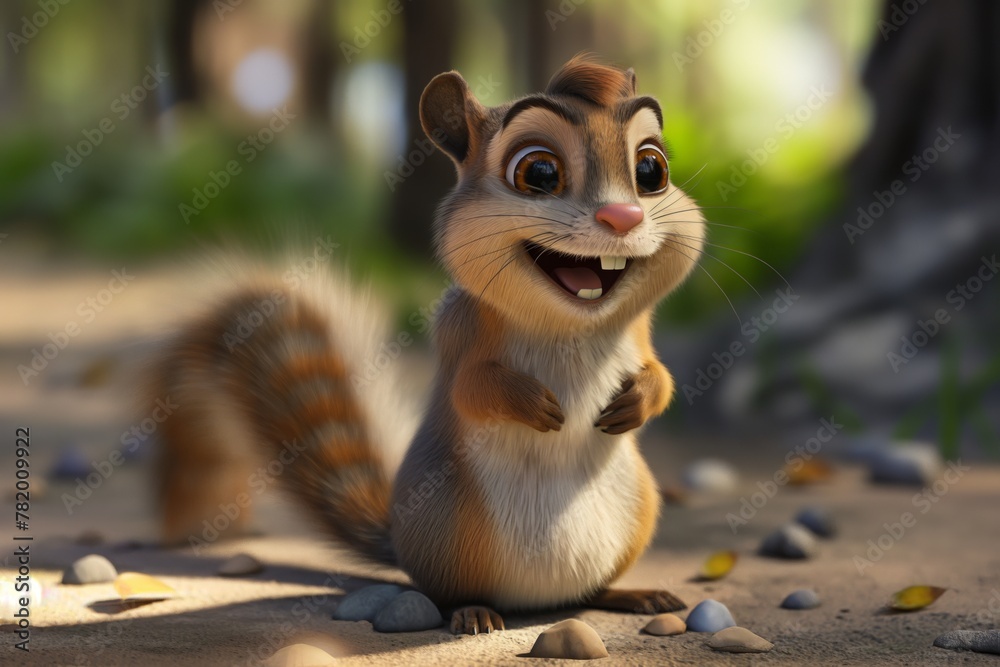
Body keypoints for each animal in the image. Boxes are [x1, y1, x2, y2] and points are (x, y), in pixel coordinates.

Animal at [150, 56, 704, 635]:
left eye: (652, 170)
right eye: (538, 173)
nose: (624, 218)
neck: (572, 325)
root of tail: (538, 601)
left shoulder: (640, 334)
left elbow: (661, 375)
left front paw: (635, 400)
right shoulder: (458, 330)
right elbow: (471, 389)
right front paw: (535, 404)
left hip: (640, 508)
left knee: (593, 589)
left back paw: (634, 594)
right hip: (452, 528)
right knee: (446, 594)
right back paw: (475, 612)